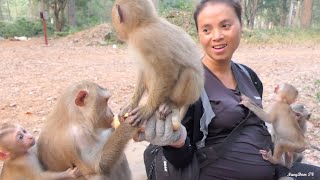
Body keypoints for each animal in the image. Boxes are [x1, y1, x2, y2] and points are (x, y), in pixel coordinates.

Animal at [111, 0, 204, 130]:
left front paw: (147, 108)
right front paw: (132, 104)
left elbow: (168, 71)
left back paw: (172, 103)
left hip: (188, 95)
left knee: (189, 73)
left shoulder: (144, 39)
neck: (145, 24)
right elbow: (143, 69)